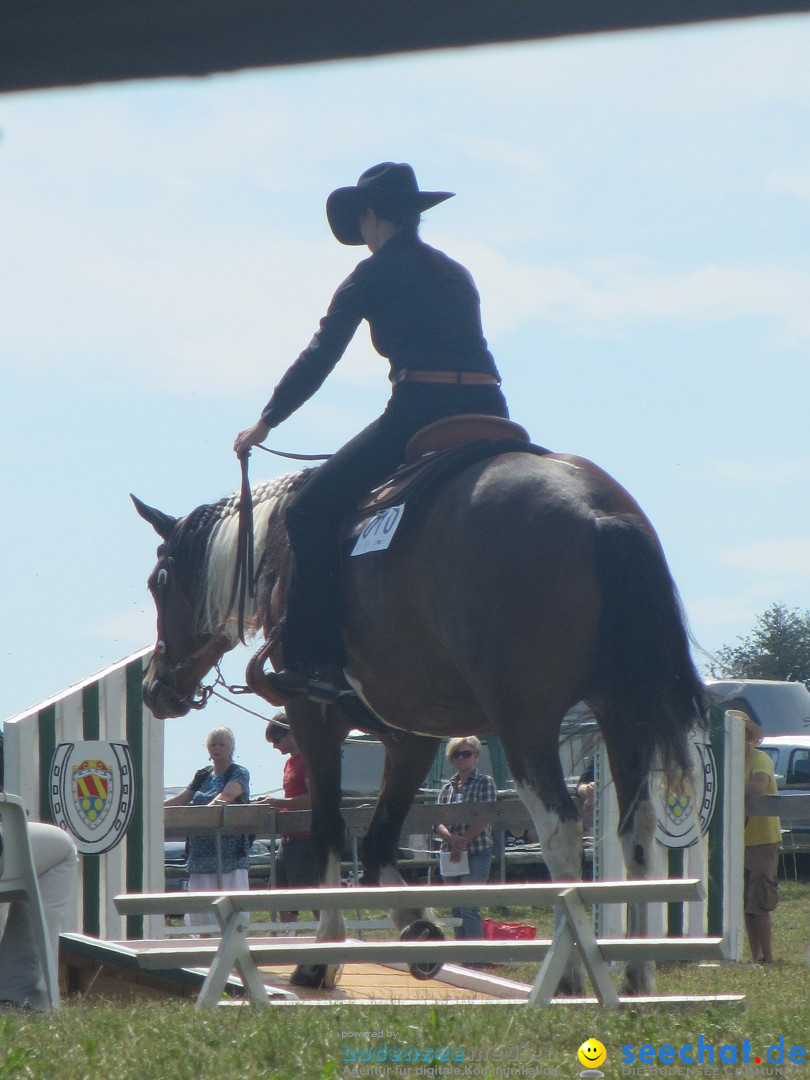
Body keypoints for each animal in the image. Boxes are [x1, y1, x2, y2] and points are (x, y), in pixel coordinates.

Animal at [133, 444, 704, 993]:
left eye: (159, 582)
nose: (154, 688)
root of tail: (595, 511)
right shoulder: (411, 734)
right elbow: (379, 839)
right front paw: (416, 927)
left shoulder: (314, 717)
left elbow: (328, 829)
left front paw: (321, 959)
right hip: (621, 713)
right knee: (637, 831)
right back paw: (636, 975)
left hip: (526, 722)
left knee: (561, 829)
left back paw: (566, 975)